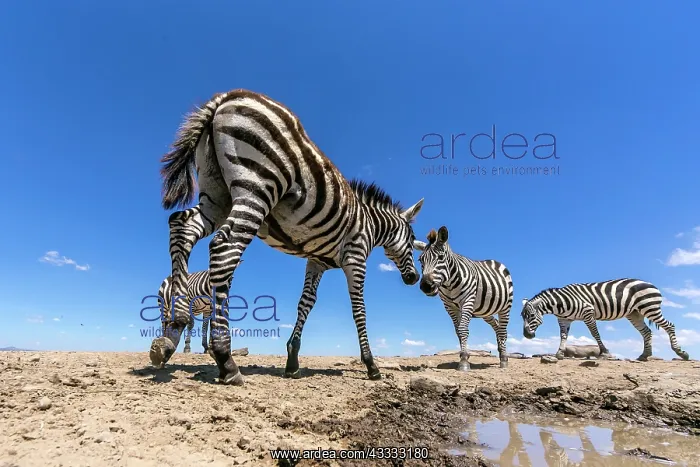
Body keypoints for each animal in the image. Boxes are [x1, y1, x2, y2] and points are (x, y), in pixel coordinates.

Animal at [149, 89, 425, 385]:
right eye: (413, 242)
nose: (413, 279)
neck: (370, 225)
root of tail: (224, 98)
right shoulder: (355, 258)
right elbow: (358, 308)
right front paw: (371, 364)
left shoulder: (317, 261)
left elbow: (305, 303)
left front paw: (292, 360)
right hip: (257, 187)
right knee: (224, 248)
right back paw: (225, 359)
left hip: (216, 194)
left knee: (181, 227)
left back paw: (173, 330)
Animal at [414, 225, 514, 371]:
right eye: (420, 260)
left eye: (441, 257)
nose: (426, 286)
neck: (449, 283)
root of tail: (494, 261)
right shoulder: (449, 307)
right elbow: (458, 331)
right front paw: (463, 356)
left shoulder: (467, 301)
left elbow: (463, 329)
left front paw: (464, 361)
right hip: (485, 311)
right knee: (497, 326)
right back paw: (501, 352)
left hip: (505, 306)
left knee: (502, 330)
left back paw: (504, 359)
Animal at [520, 278, 690, 361]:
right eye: (522, 317)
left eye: (531, 316)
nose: (526, 336)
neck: (560, 304)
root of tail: (651, 284)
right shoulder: (564, 320)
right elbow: (563, 336)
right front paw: (559, 354)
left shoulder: (588, 313)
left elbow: (595, 333)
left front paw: (604, 352)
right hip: (635, 313)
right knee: (647, 332)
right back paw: (645, 355)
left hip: (650, 307)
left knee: (670, 326)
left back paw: (681, 353)